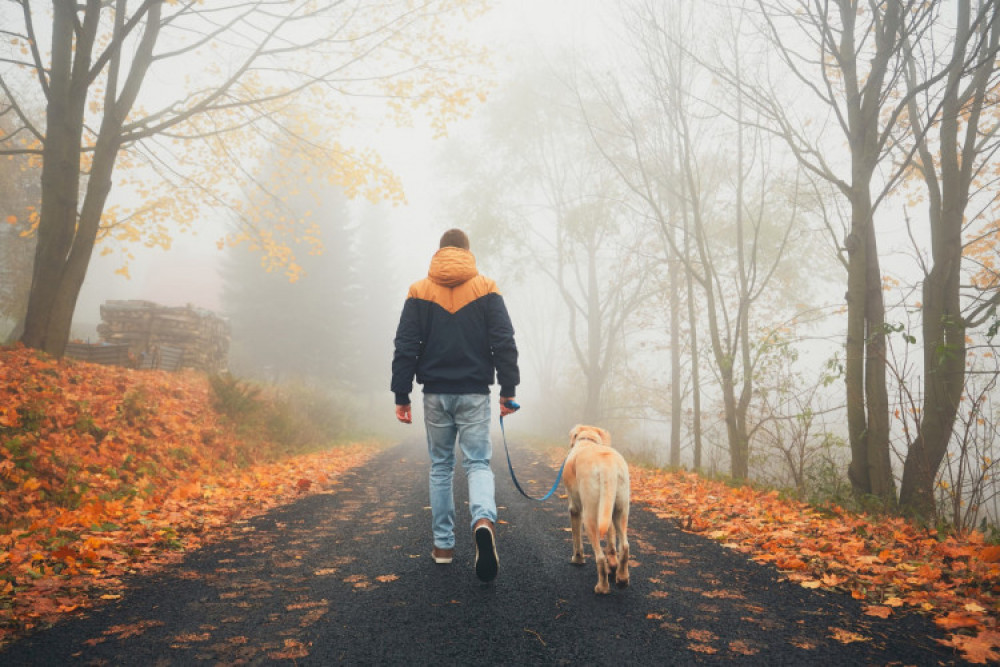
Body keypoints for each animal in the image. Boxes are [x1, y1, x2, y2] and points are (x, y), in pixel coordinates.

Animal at [568, 426, 628, 592]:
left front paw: (577, 558)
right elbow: (611, 540)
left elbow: (576, 538)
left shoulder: (575, 509)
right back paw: (622, 578)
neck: (588, 440)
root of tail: (606, 466)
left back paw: (602, 587)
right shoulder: (608, 513)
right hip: (620, 512)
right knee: (624, 546)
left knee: (599, 557)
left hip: (590, 518)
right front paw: (612, 565)